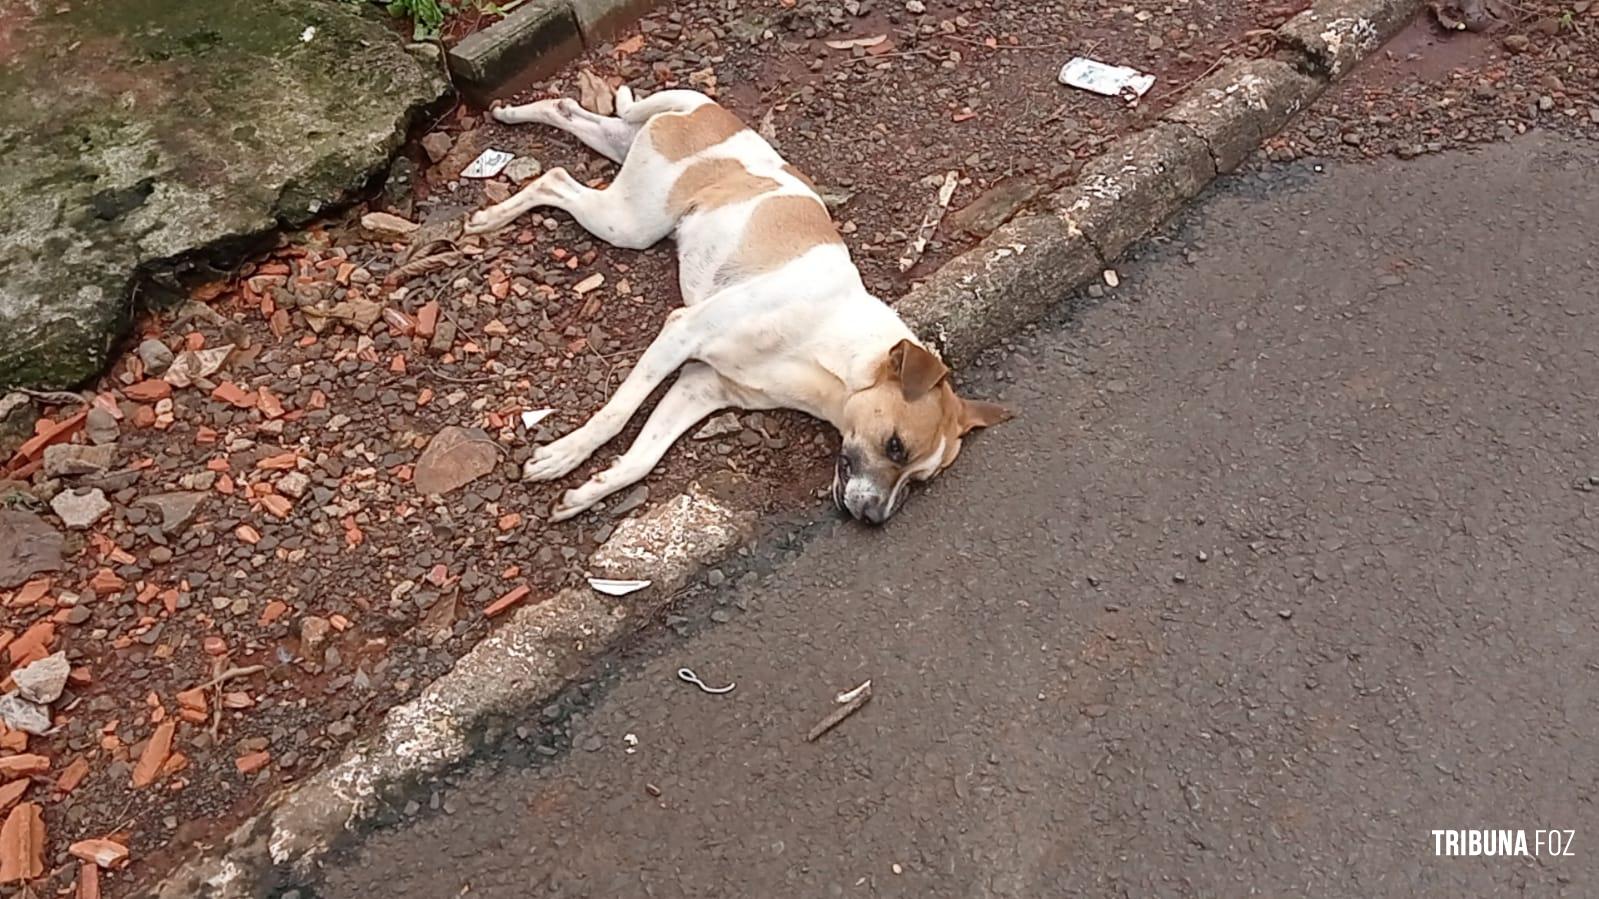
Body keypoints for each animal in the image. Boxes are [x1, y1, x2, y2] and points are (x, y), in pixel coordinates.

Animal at [463, 87, 1004, 521]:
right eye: (895, 446)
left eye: (919, 479)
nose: (874, 519)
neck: (831, 349)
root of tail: (705, 109)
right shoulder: (681, 334)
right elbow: (616, 414)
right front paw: (567, 455)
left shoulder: (701, 387)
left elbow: (641, 459)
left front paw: (590, 491)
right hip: (632, 221)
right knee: (554, 178)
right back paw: (492, 216)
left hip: (624, 165)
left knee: (569, 115)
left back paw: (511, 114)